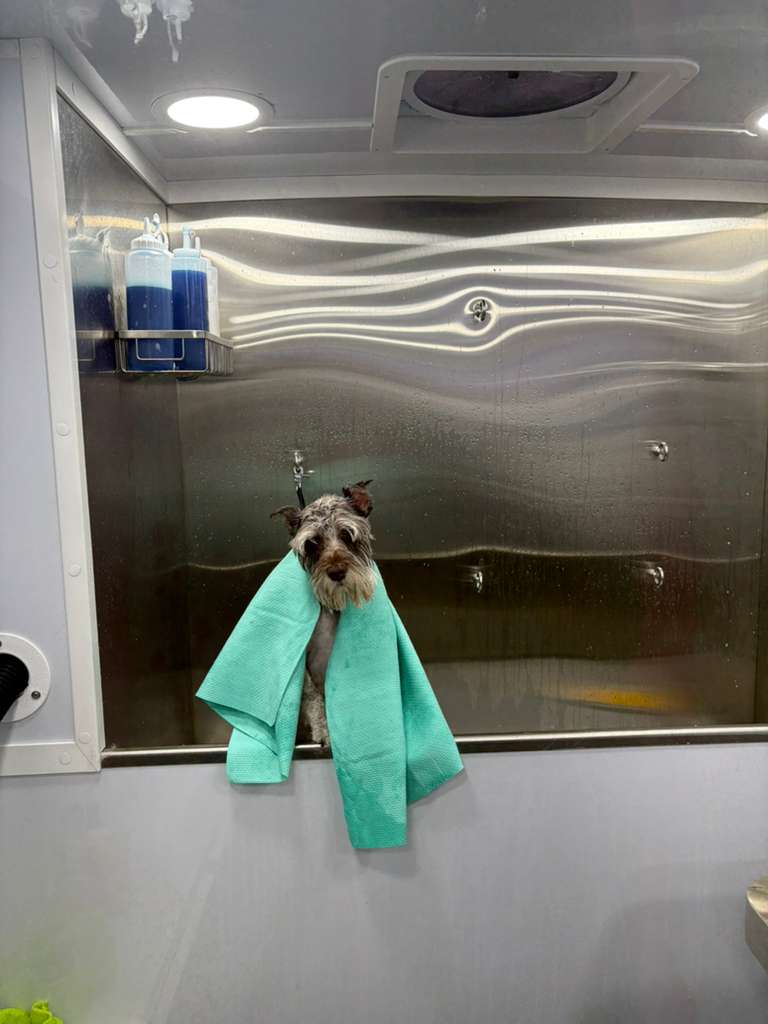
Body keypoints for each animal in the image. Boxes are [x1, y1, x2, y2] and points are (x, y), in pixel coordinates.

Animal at [272, 480, 375, 748]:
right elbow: (312, 699)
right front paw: (323, 730)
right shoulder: (306, 665)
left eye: (347, 534)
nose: (337, 572)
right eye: (312, 543)